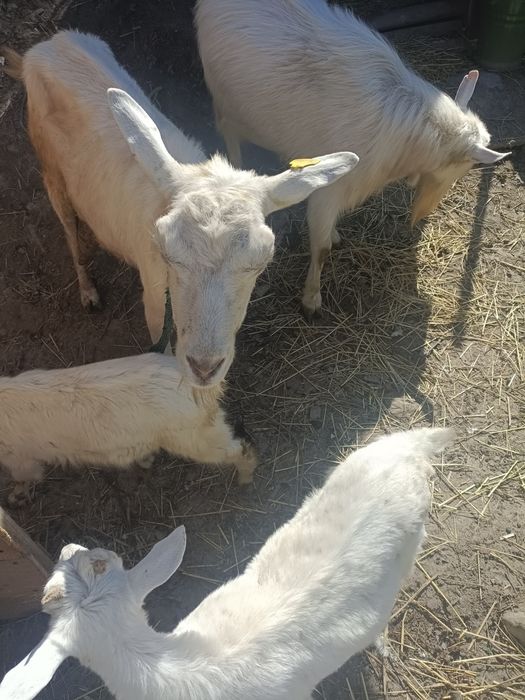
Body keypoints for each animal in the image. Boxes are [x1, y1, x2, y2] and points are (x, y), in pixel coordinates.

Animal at [0, 353, 256, 505]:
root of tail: (202, 389)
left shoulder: (19, 458)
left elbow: (24, 477)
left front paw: (15, 496)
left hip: (197, 437)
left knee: (241, 448)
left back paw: (246, 480)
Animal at [1, 30, 359, 384]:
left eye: (261, 262)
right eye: (168, 253)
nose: (204, 366)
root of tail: (41, 49)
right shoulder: (153, 294)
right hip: (50, 169)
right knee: (69, 227)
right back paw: (88, 292)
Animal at [195, 0, 510, 315]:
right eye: (466, 166)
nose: (424, 213)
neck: (412, 136)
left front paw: (334, 236)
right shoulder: (330, 189)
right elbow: (320, 249)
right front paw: (311, 299)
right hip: (225, 99)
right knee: (229, 133)